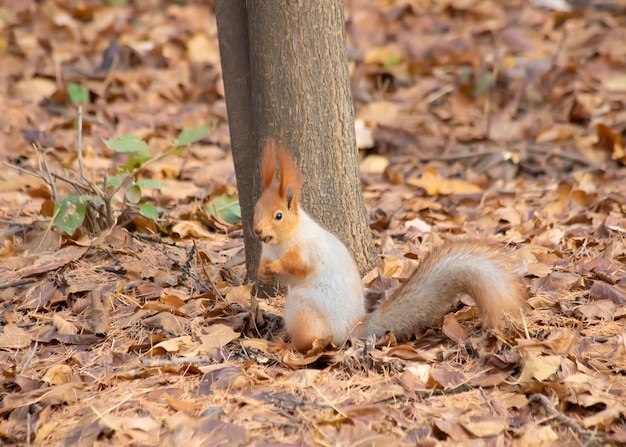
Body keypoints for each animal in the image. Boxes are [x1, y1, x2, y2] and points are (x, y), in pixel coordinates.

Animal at [251, 144, 524, 354]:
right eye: (256, 208)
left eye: (278, 215)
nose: (257, 231)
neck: (279, 243)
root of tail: (351, 327)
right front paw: (262, 271)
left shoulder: (308, 250)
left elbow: (297, 266)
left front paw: (276, 266)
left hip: (303, 309)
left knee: (309, 343)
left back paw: (286, 346)